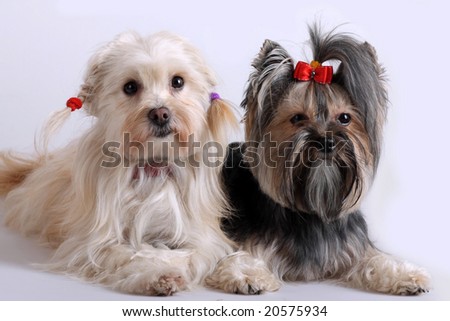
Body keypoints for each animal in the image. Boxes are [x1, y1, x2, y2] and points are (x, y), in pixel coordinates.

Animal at [0, 31, 278, 294]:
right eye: (130, 87)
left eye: (178, 81)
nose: (160, 113)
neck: (153, 165)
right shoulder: (95, 246)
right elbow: (133, 255)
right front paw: (158, 272)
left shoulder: (203, 237)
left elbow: (206, 253)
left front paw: (244, 273)